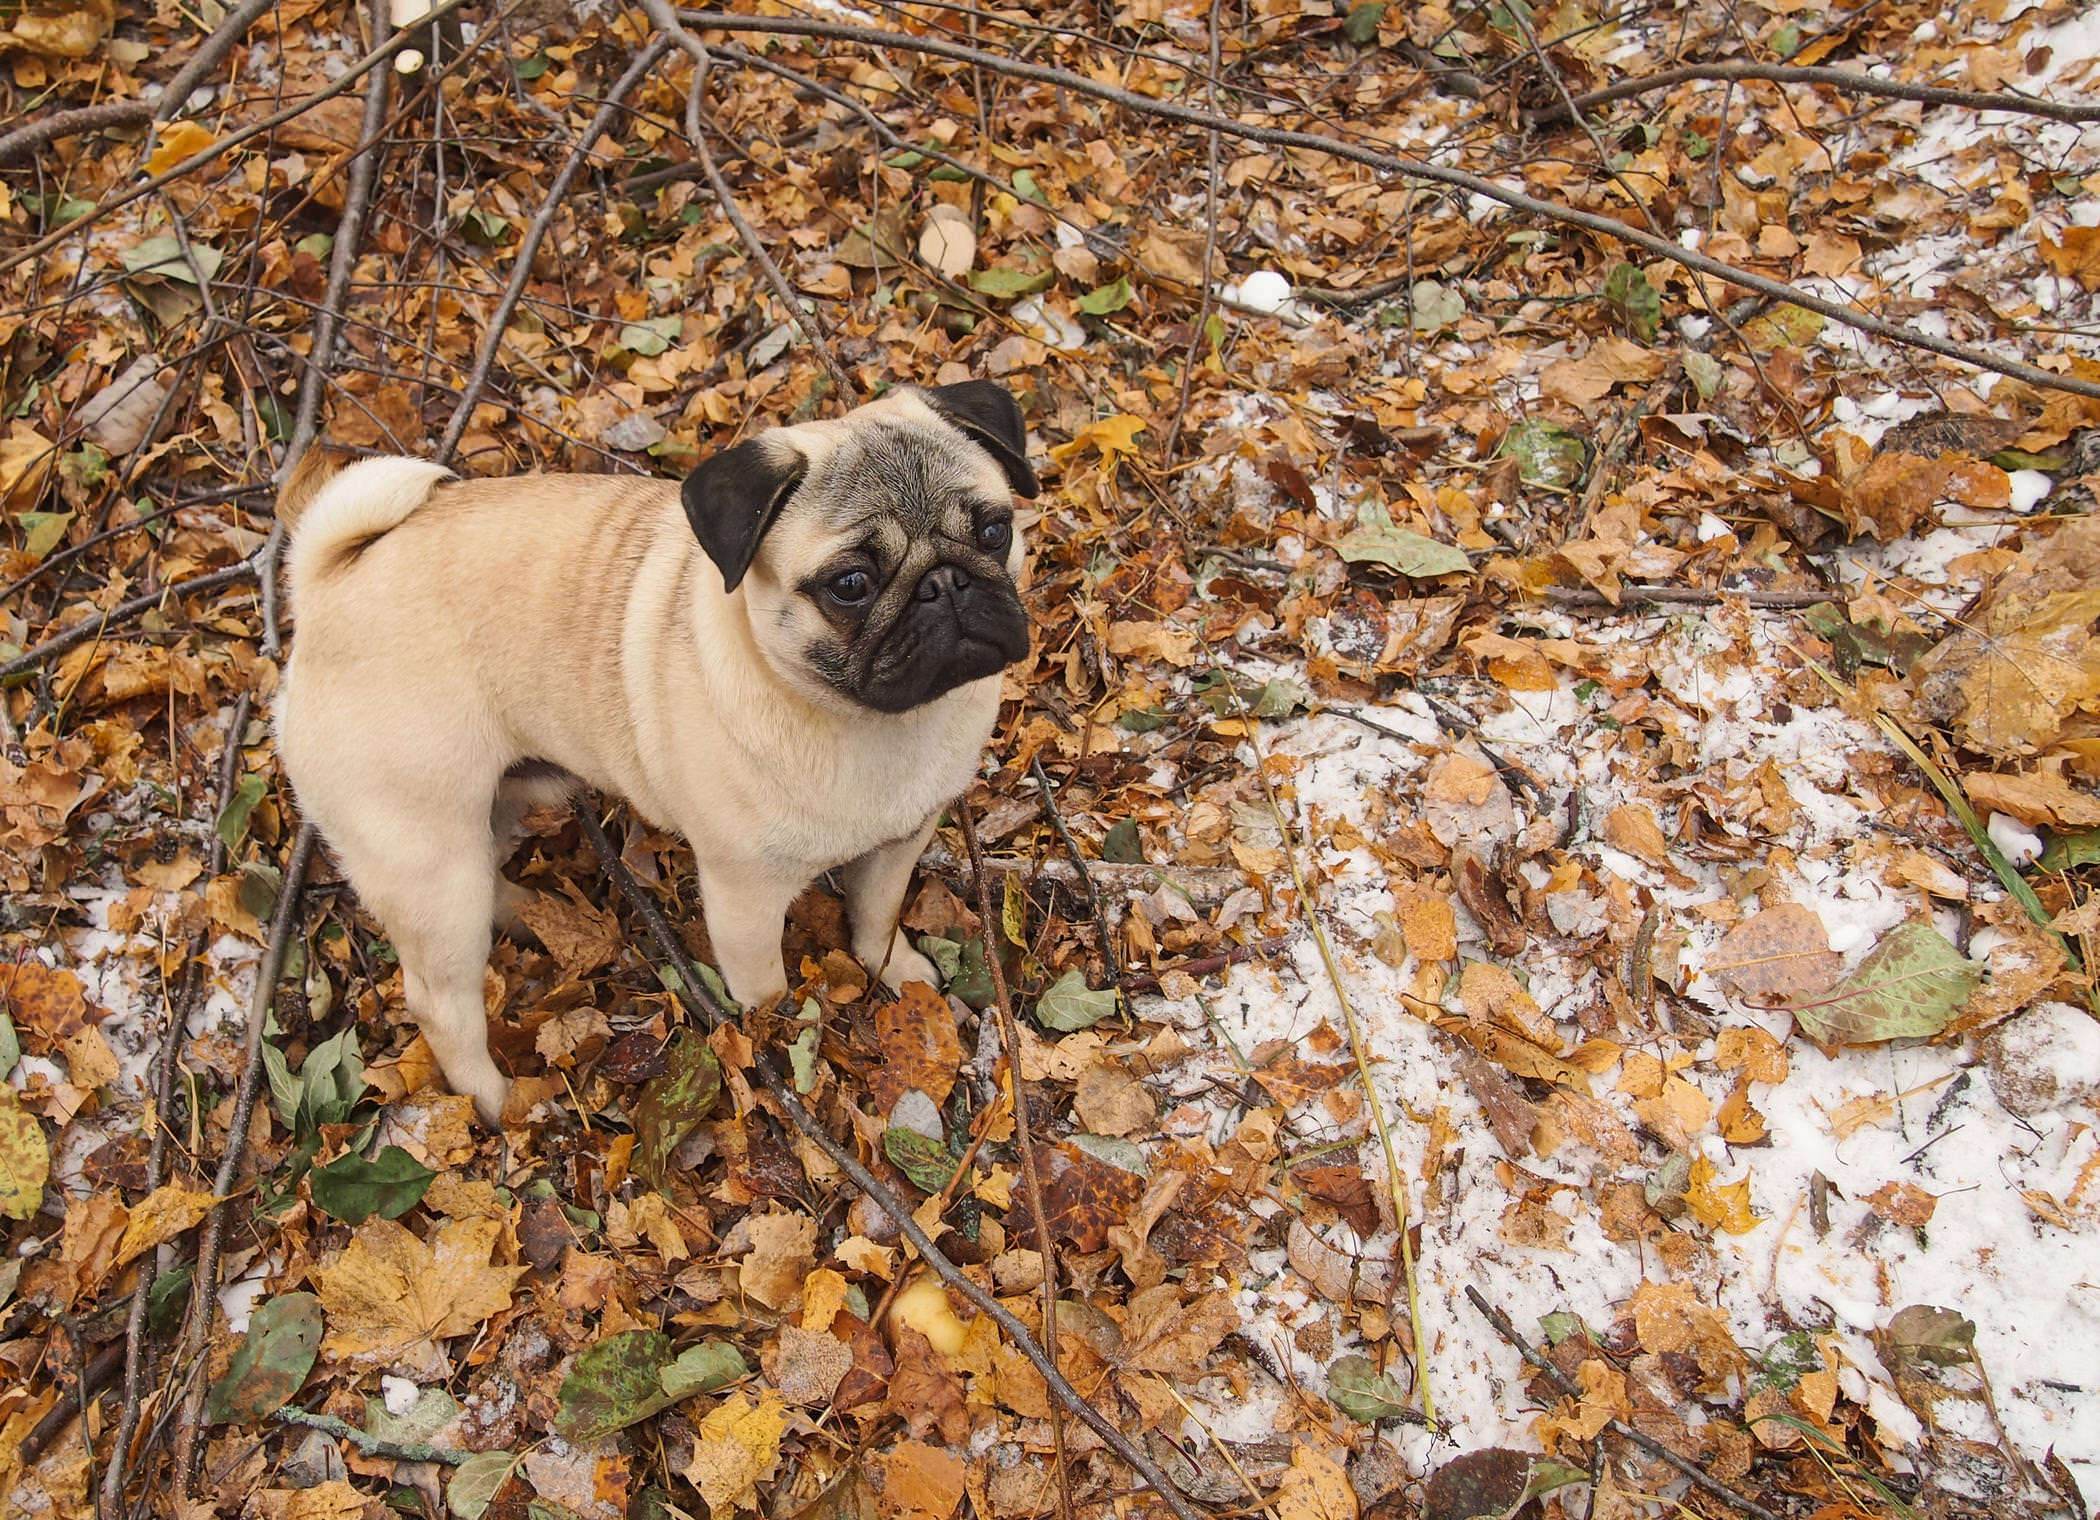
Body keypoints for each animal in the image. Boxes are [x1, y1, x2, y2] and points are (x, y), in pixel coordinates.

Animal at [275, 380, 1037, 1125]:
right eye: (850, 585)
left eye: (994, 531)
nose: (945, 584)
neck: (877, 725)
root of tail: (324, 589)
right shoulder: (743, 901)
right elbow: (767, 991)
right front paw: (781, 1050)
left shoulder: (900, 841)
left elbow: (877, 918)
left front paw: (896, 972)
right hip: (428, 861)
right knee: (441, 1001)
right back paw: (494, 1103)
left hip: (490, 812)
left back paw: (534, 916)